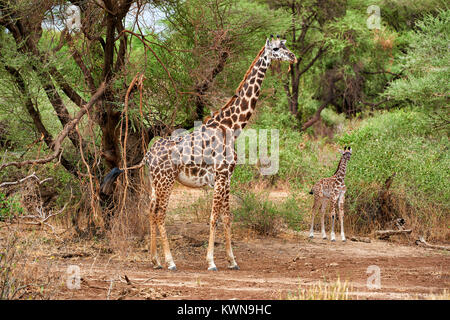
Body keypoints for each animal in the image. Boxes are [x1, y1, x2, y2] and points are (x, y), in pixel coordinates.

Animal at [111, 35, 298, 270]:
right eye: (275, 49)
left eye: (285, 45)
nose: (293, 57)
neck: (231, 127)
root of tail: (147, 156)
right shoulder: (221, 174)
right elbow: (214, 217)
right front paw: (211, 262)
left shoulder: (226, 177)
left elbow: (227, 216)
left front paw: (232, 260)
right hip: (166, 180)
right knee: (160, 213)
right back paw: (170, 262)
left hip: (154, 181)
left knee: (151, 211)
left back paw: (155, 260)